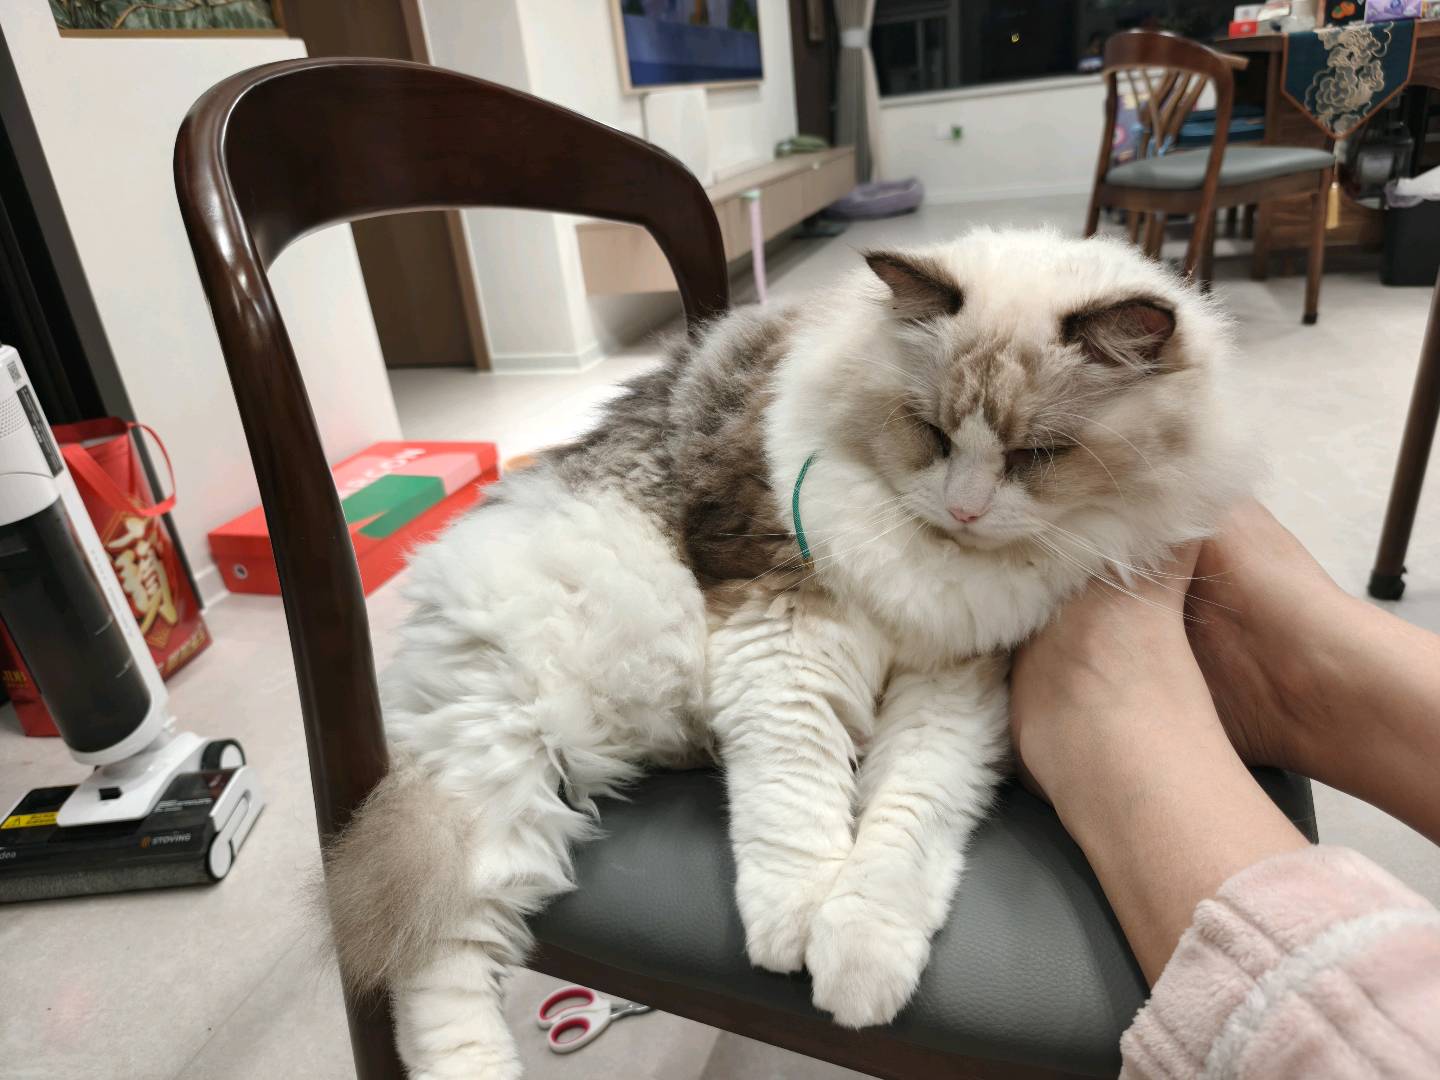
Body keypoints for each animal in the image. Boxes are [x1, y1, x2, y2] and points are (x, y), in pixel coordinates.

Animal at [323, 228, 1245, 1079]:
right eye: (933, 435)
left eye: (1037, 456)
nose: (966, 510)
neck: (941, 569)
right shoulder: (784, 622)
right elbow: (794, 793)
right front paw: (795, 926)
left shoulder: (959, 679)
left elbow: (907, 819)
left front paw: (861, 961)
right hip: (521, 741)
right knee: (438, 960)